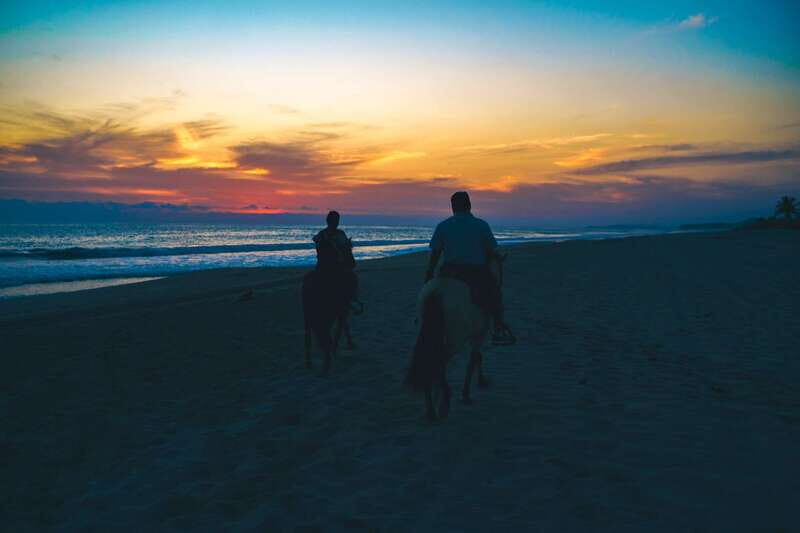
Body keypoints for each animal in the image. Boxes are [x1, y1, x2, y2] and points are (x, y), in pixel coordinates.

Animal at [405, 259, 505, 420]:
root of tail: (437, 293)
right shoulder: (479, 334)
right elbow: (474, 359)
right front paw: (468, 392)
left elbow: (477, 357)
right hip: (454, 338)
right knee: (438, 362)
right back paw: (443, 399)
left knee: (429, 361)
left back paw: (432, 408)